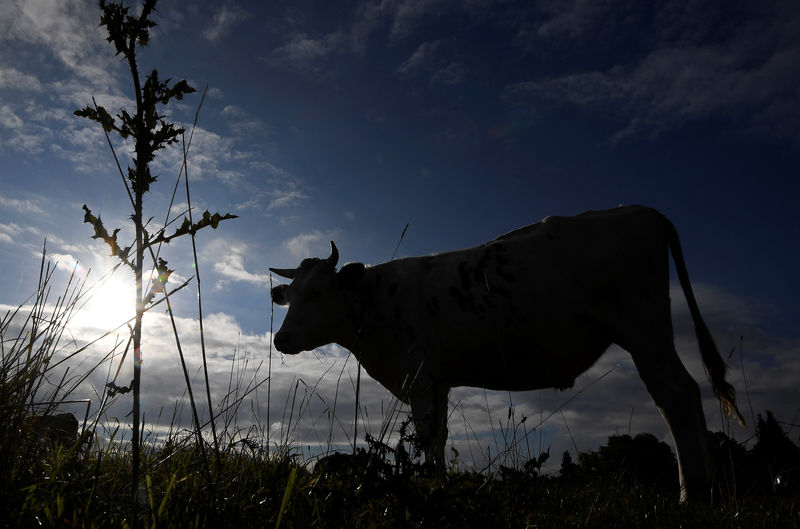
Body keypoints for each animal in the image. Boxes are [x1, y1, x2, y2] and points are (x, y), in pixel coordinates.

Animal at [268, 205, 744, 500]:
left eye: (317, 292)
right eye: (288, 296)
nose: (281, 340)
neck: (377, 303)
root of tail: (642, 210)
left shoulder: (418, 377)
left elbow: (427, 436)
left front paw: (432, 488)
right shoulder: (438, 382)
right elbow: (439, 437)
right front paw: (439, 485)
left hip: (644, 328)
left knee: (675, 394)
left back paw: (693, 493)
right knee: (687, 392)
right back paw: (713, 491)